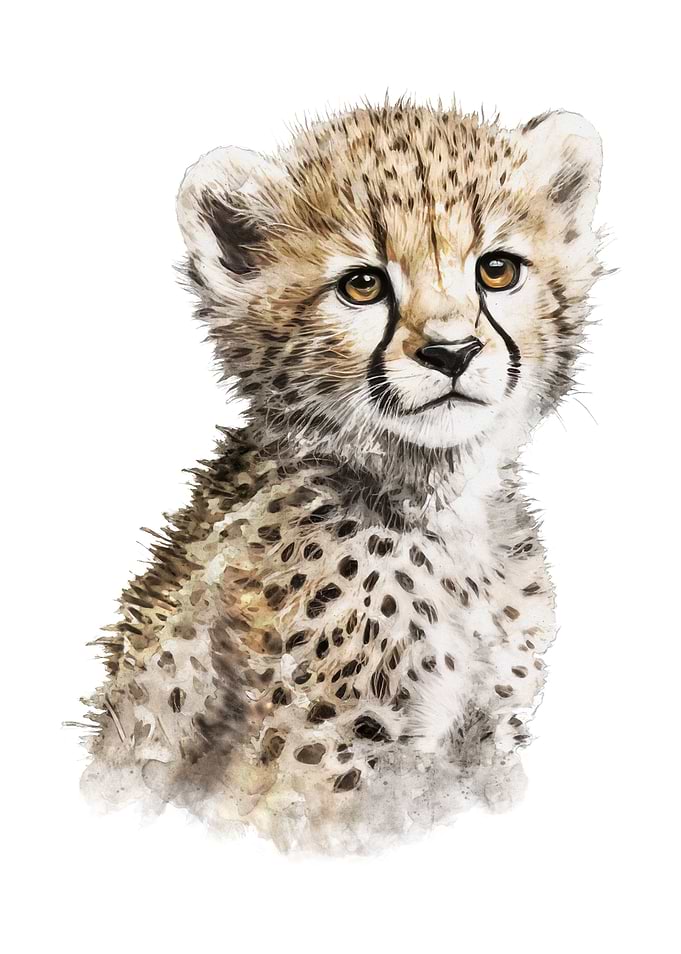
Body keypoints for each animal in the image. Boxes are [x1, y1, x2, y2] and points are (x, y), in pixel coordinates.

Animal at [79, 101, 603, 853]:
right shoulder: (321, 759)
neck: (439, 507)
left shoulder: (489, 741)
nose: (452, 351)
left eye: (497, 270)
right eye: (363, 284)